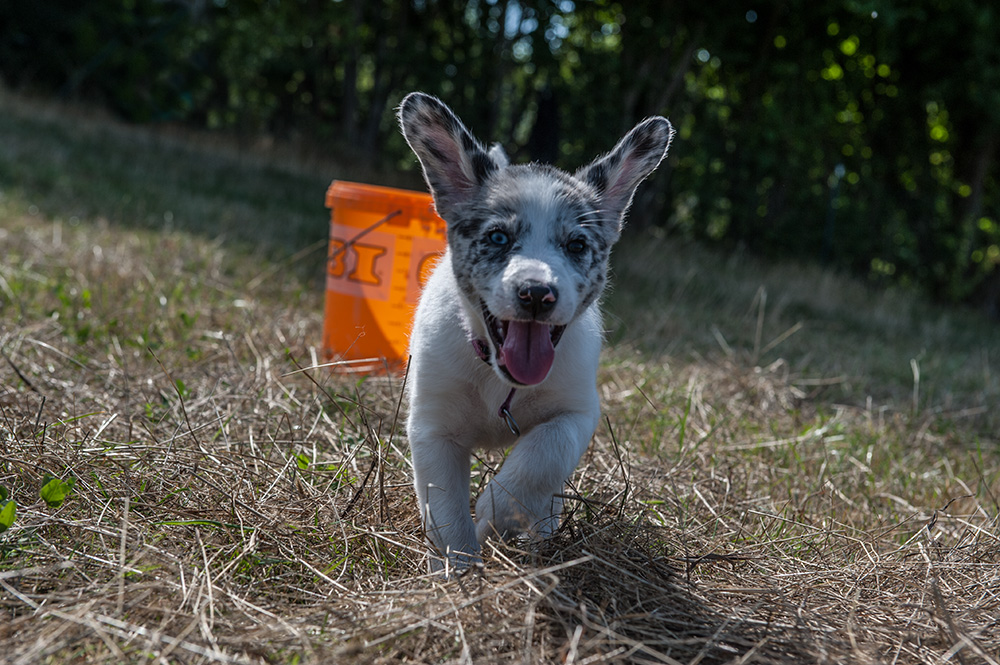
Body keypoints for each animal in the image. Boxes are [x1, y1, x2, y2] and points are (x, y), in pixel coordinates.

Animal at [398, 92, 672, 572]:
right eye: (498, 238)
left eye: (577, 245)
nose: (537, 293)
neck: (498, 377)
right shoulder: (432, 428)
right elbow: (446, 509)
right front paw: (459, 571)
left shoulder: (576, 413)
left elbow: (540, 460)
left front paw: (496, 516)